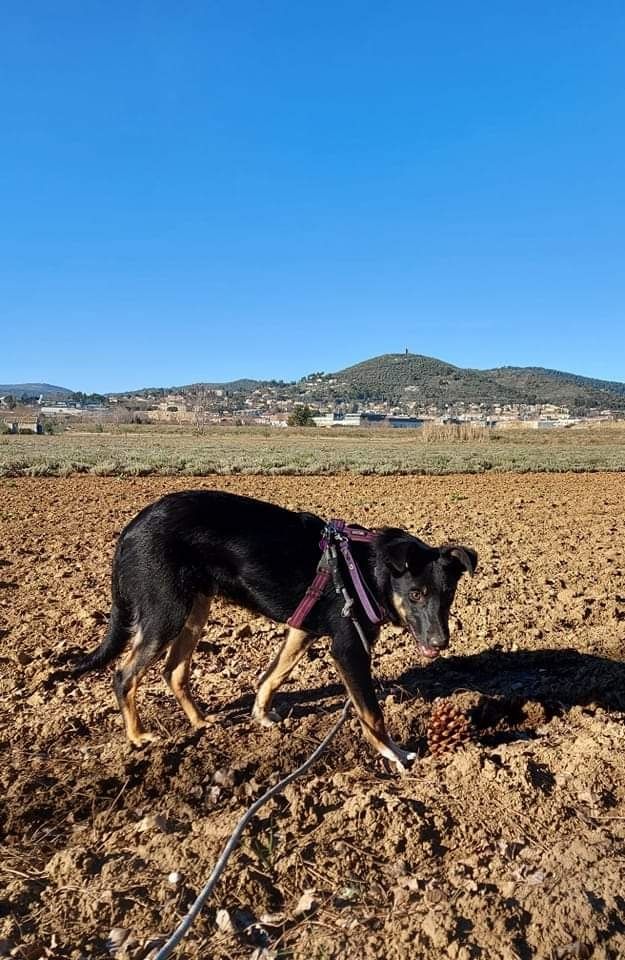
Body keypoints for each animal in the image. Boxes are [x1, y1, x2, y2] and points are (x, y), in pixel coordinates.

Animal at [73, 492, 476, 768]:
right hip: (165, 613)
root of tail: (130, 529)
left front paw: (262, 715)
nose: (441, 642)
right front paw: (394, 754)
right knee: (125, 675)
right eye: (416, 594)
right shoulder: (349, 649)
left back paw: (201, 721)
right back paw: (138, 737)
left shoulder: (302, 630)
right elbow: (372, 713)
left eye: (448, 594)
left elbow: (273, 675)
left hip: (195, 608)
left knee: (174, 671)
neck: (369, 569)